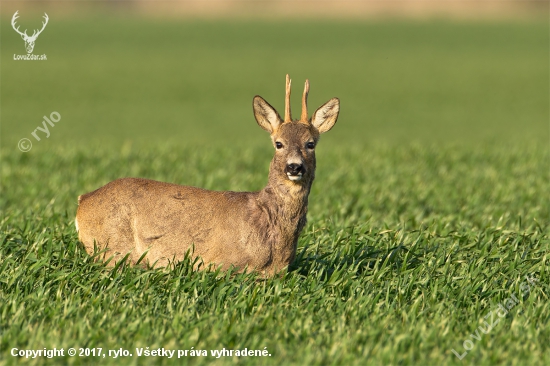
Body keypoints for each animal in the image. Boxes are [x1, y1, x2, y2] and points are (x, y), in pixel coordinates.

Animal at [75, 74, 338, 274]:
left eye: (310, 143)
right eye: (278, 143)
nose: (294, 167)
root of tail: (82, 202)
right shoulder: (222, 265)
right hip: (114, 249)